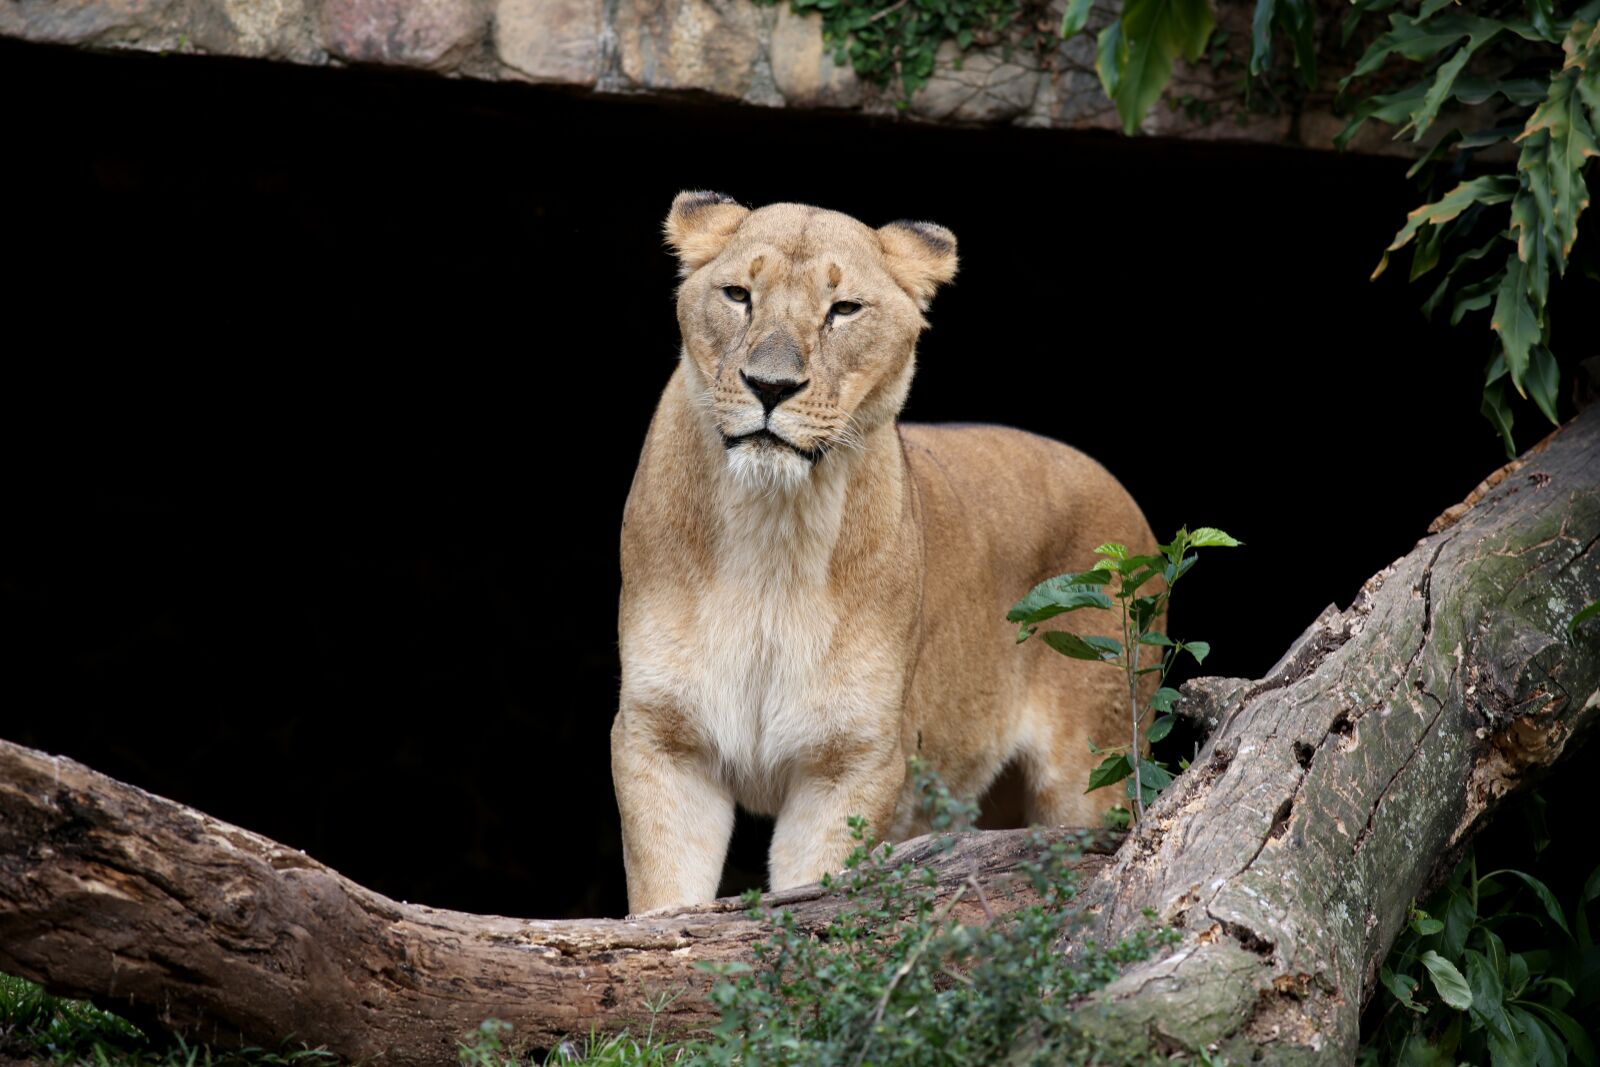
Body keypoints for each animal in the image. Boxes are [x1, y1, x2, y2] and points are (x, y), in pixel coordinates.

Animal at [611, 193, 1159, 914]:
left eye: (844, 309)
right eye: (737, 295)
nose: (770, 386)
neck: (770, 529)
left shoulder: (851, 762)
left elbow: (812, 894)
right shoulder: (661, 739)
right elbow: (666, 905)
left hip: (1095, 768)